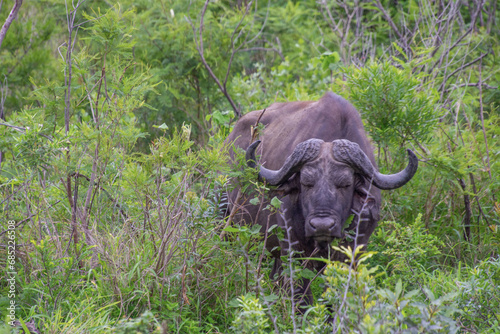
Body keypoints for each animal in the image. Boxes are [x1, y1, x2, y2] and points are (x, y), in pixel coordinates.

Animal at [225, 91, 416, 306]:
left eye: (345, 184)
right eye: (306, 182)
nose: (322, 226)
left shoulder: (352, 251)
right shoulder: (293, 251)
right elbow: (302, 297)